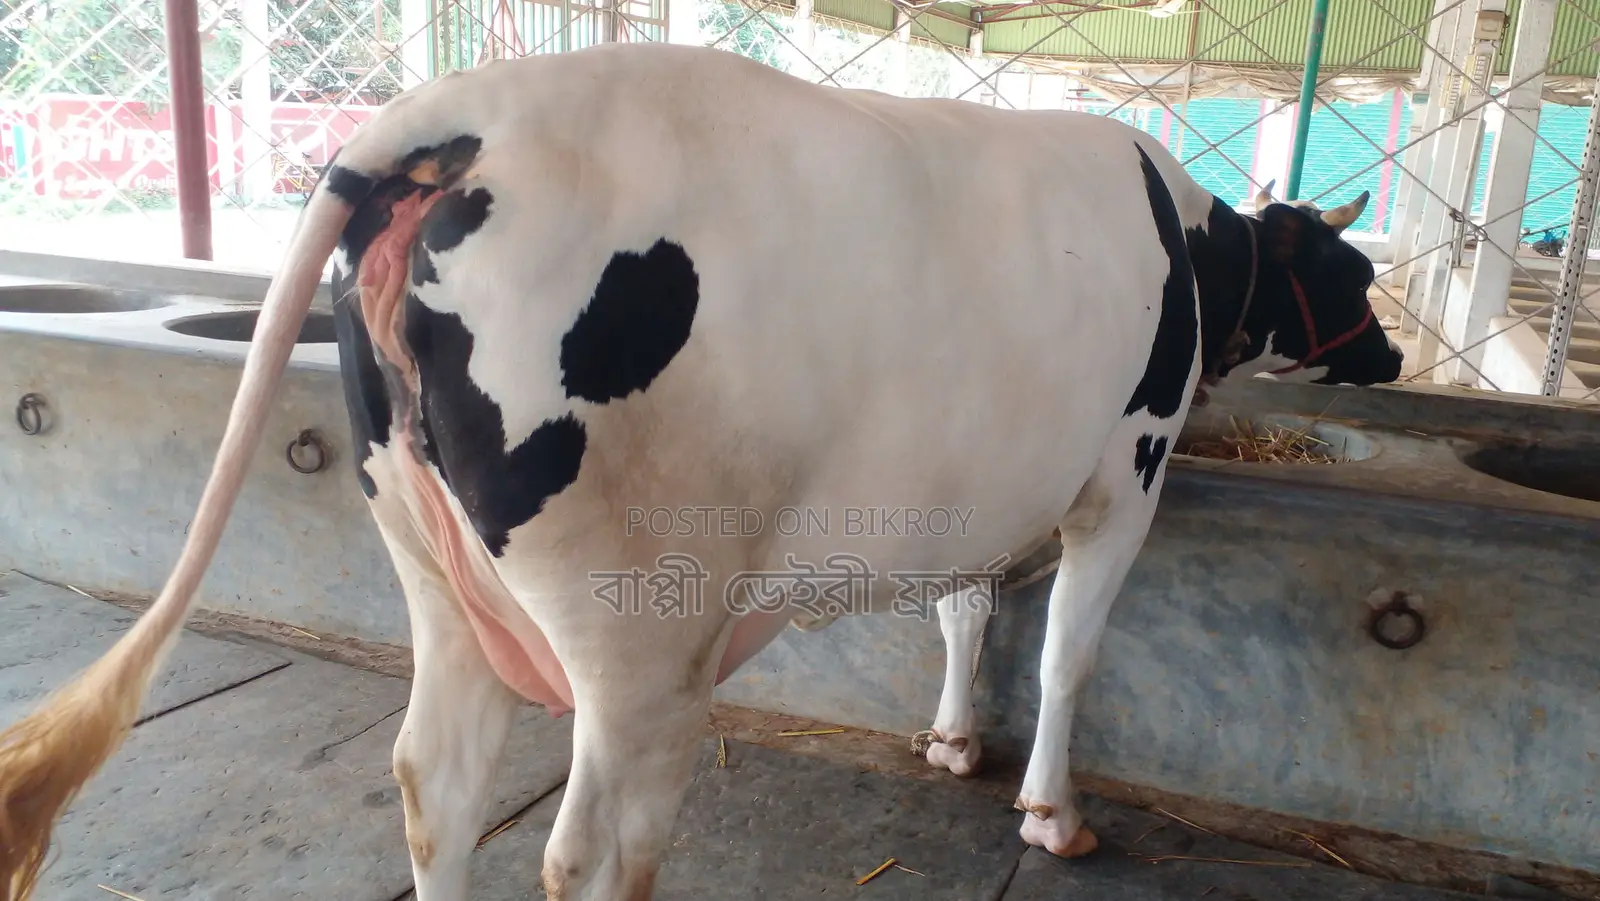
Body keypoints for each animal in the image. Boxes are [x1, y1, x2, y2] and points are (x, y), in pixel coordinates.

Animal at [0, 41, 1401, 901]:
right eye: (1355, 274)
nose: (1389, 355)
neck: (1190, 242)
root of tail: (459, 111)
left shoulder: (977, 486)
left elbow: (961, 608)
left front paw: (952, 739)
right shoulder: (1128, 470)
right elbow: (1066, 655)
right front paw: (1050, 812)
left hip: (432, 565)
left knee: (434, 785)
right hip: (641, 628)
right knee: (592, 847)